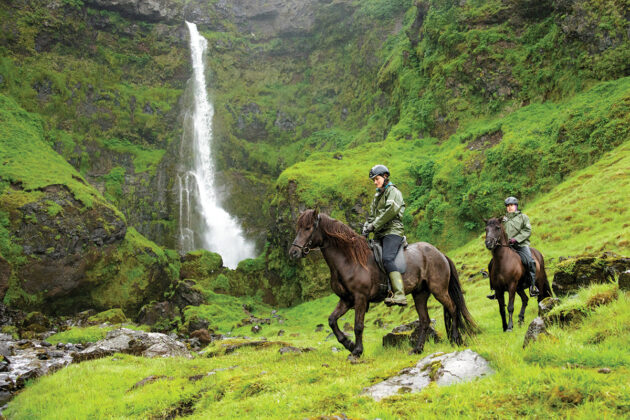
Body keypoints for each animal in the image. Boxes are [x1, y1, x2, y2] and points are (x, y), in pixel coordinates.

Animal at [288, 210, 476, 358]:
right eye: (298, 228)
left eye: (308, 228)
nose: (293, 252)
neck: (350, 260)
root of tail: (440, 254)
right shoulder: (346, 300)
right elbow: (332, 321)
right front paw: (348, 344)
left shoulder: (360, 298)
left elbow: (358, 326)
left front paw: (357, 351)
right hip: (420, 294)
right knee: (424, 321)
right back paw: (417, 349)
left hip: (439, 290)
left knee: (453, 309)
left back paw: (456, 339)